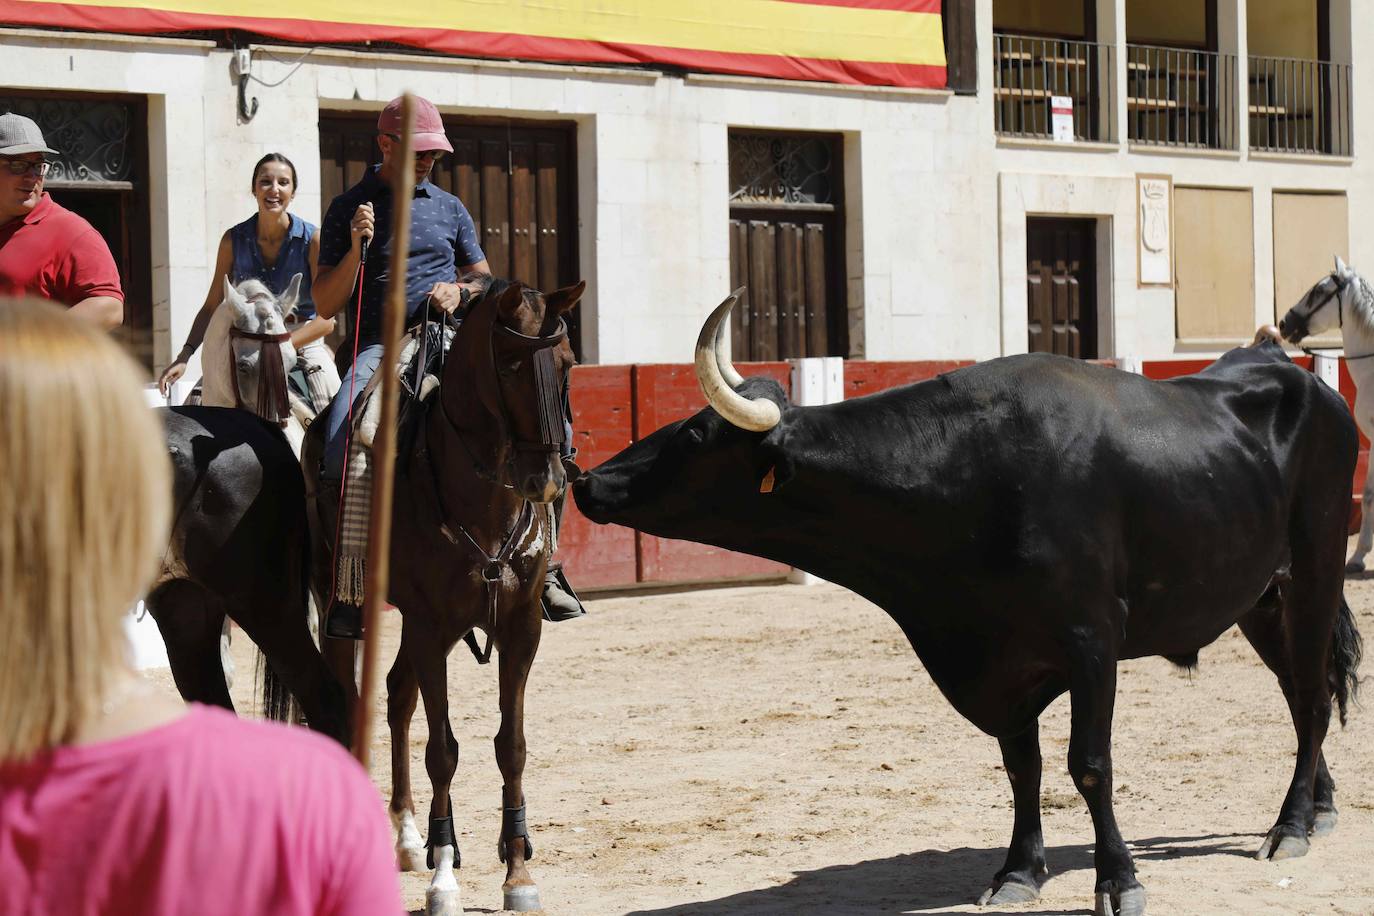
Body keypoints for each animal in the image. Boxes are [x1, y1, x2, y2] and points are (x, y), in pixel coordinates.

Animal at [300, 277, 579, 916]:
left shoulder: (519, 627)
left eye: (567, 362)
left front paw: (517, 871)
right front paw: (444, 875)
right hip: (348, 607)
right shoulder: (429, 624)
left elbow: (511, 745)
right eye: (510, 365)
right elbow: (444, 751)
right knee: (355, 696)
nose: (547, 481)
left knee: (398, 694)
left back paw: (406, 837)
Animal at [571, 318, 1363, 911]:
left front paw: (1117, 880)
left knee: (1311, 698)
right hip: (1260, 598)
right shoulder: (1000, 658)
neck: (973, 474)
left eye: (694, 437)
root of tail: (1296, 373)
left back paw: (1290, 825)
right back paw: (1318, 807)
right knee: (1303, 693)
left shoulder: (1091, 641)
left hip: (1317, 567)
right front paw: (1017, 872)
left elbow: (1089, 764)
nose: (586, 479)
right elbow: (1022, 767)